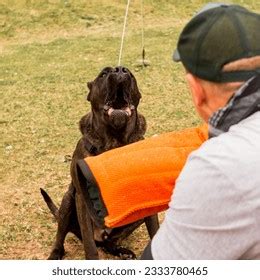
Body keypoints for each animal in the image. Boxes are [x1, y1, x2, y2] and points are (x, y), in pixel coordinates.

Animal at [40, 66, 158, 260]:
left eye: (130, 74)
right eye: (103, 74)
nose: (120, 70)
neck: (115, 142)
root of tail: (101, 236)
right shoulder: (82, 198)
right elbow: (89, 245)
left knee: (109, 242)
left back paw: (120, 250)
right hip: (68, 201)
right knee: (62, 236)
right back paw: (55, 253)